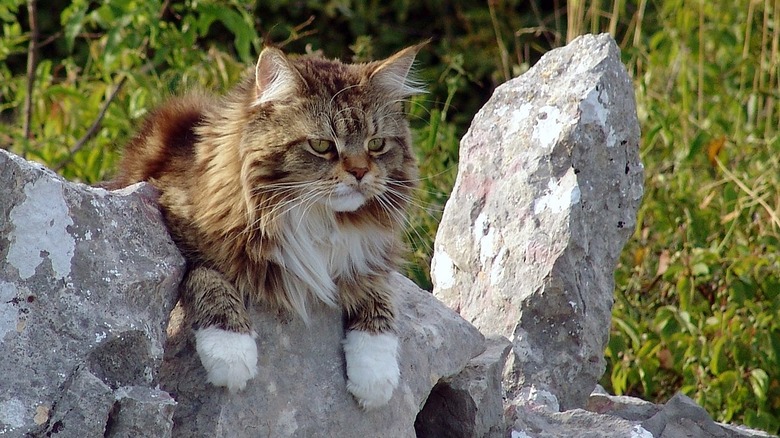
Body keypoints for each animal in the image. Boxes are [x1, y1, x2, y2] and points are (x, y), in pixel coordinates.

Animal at [105, 42, 426, 408]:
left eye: (376, 144)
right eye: (322, 146)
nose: (360, 172)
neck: (318, 219)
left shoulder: (370, 255)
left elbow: (378, 300)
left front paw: (375, 377)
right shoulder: (173, 223)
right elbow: (206, 276)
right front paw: (232, 352)